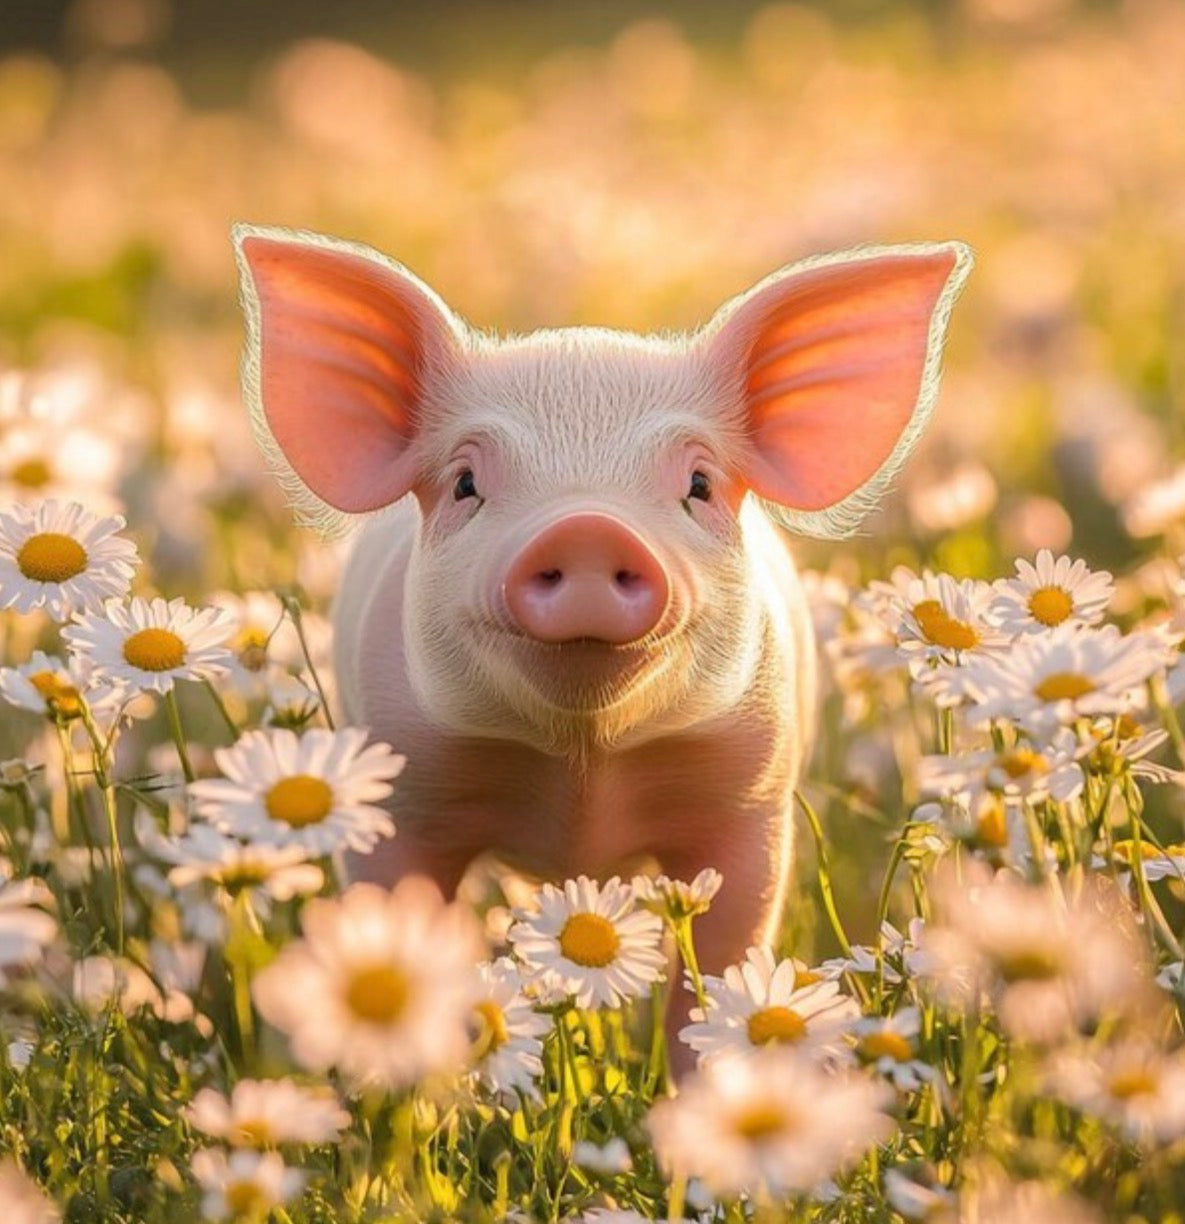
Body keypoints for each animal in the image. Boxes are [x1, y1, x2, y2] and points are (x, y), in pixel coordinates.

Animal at [233, 224, 971, 1044]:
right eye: (464, 484)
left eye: (699, 485)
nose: (586, 527)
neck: (582, 765)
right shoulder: (400, 798)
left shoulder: (751, 800)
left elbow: (719, 968)